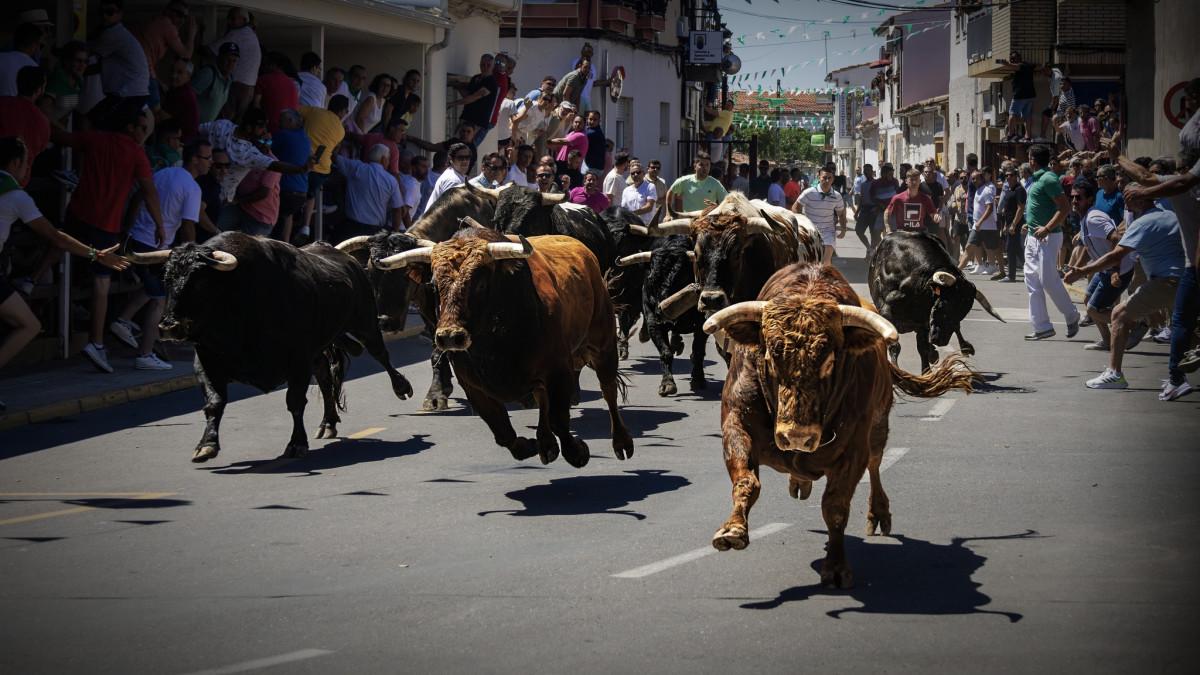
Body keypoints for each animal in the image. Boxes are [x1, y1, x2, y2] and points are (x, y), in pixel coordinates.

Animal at [379, 228, 633, 466]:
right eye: (433, 284)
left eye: (481, 283)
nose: (450, 337)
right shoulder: (473, 385)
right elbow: (501, 430)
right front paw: (529, 446)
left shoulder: (558, 369)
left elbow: (559, 419)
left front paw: (578, 452)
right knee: (542, 397)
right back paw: (546, 444)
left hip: (604, 345)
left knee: (608, 389)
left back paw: (622, 442)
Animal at [700, 260, 974, 586]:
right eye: (770, 354)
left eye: (830, 359)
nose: (797, 437)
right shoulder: (736, 424)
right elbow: (746, 481)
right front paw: (732, 530)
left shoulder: (853, 449)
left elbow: (835, 506)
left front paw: (836, 567)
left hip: (878, 428)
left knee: (875, 464)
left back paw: (878, 514)